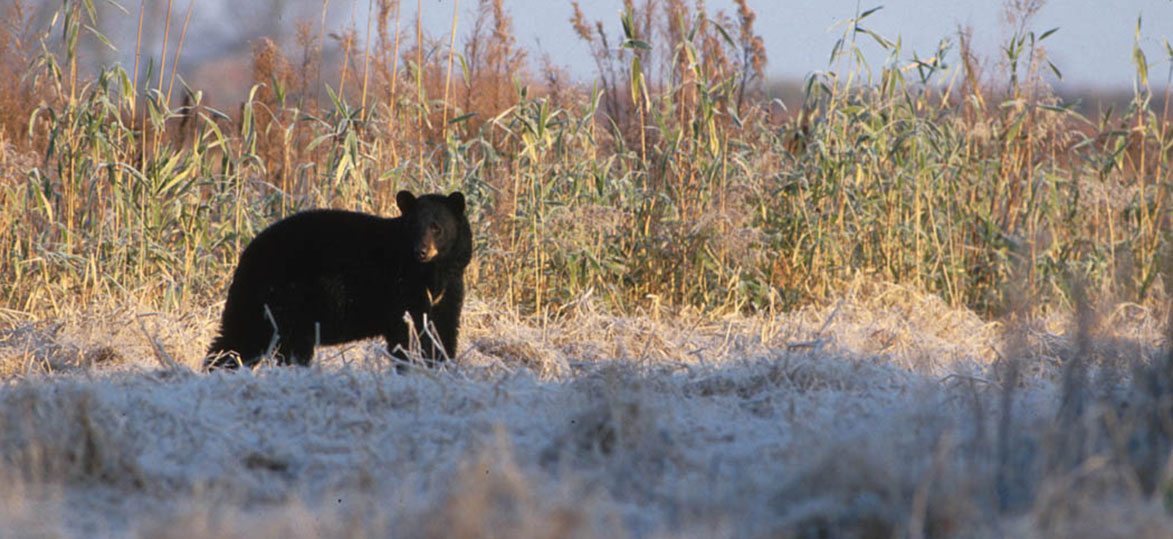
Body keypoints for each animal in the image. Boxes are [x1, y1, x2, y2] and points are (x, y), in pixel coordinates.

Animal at [205, 190, 471, 370]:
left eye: (436, 227)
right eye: (413, 226)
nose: (421, 251)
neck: (431, 272)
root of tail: (249, 252)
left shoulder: (449, 291)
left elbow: (443, 332)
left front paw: (441, 366)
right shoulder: (401, 290)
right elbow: (407, 335)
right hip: (284, 300)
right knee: (260, 338)